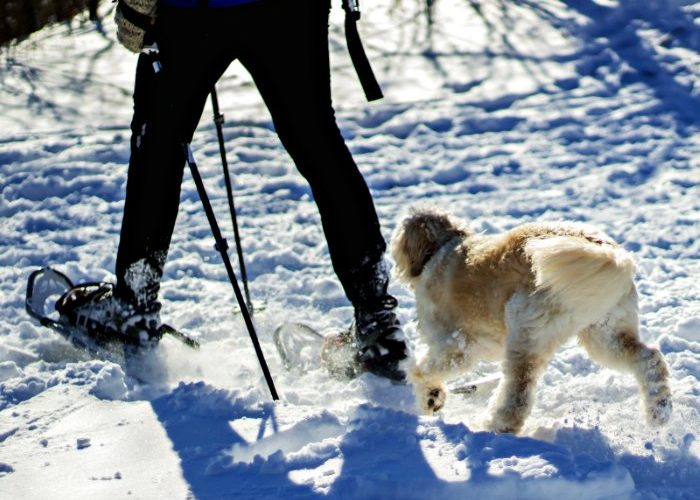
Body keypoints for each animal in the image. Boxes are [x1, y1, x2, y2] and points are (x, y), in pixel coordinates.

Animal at [394, 207, 672, 434]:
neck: (442, 248)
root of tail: (606, 251)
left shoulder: (456, 346)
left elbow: (422, 370)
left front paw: (430, 396)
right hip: (606, 333)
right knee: (649, 359)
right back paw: (659, 412)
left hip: (525, 332)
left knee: (518, 395)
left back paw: (493, 427)